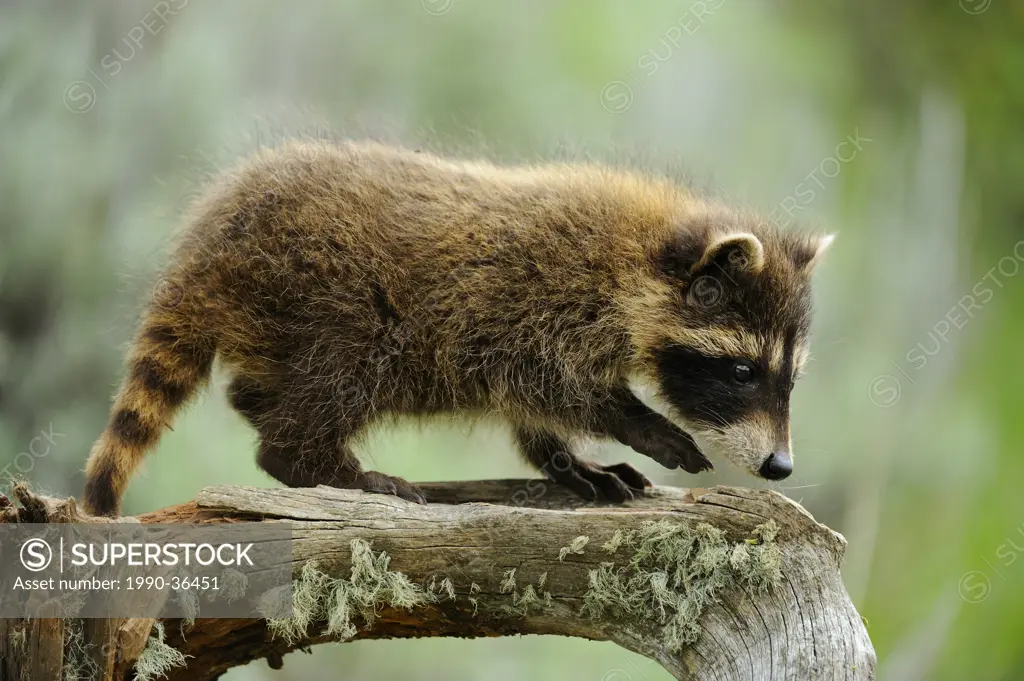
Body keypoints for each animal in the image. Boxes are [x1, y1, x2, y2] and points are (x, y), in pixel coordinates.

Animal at [79, 142, 831, 516]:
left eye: (790, 379)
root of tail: (207, 247)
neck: (642, 255)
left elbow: (533, 407)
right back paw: (314, 461)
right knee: (342, 374)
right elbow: (553, 385)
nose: (781, 466)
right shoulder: (536, 305)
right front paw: (638, 422)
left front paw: (562, 458)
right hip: (324, 293)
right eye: (743, 372)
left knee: (265, 388)